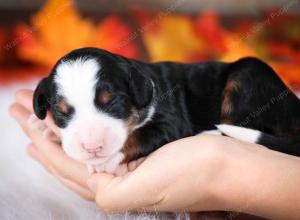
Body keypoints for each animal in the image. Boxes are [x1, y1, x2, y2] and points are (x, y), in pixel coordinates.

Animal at [32, 47, 300, 173]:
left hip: (247, 74)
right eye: (61, 112)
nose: (92, 147)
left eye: (113, 102)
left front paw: (108, 160)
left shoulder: (170, 122)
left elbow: (140, 135)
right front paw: (45, 129)